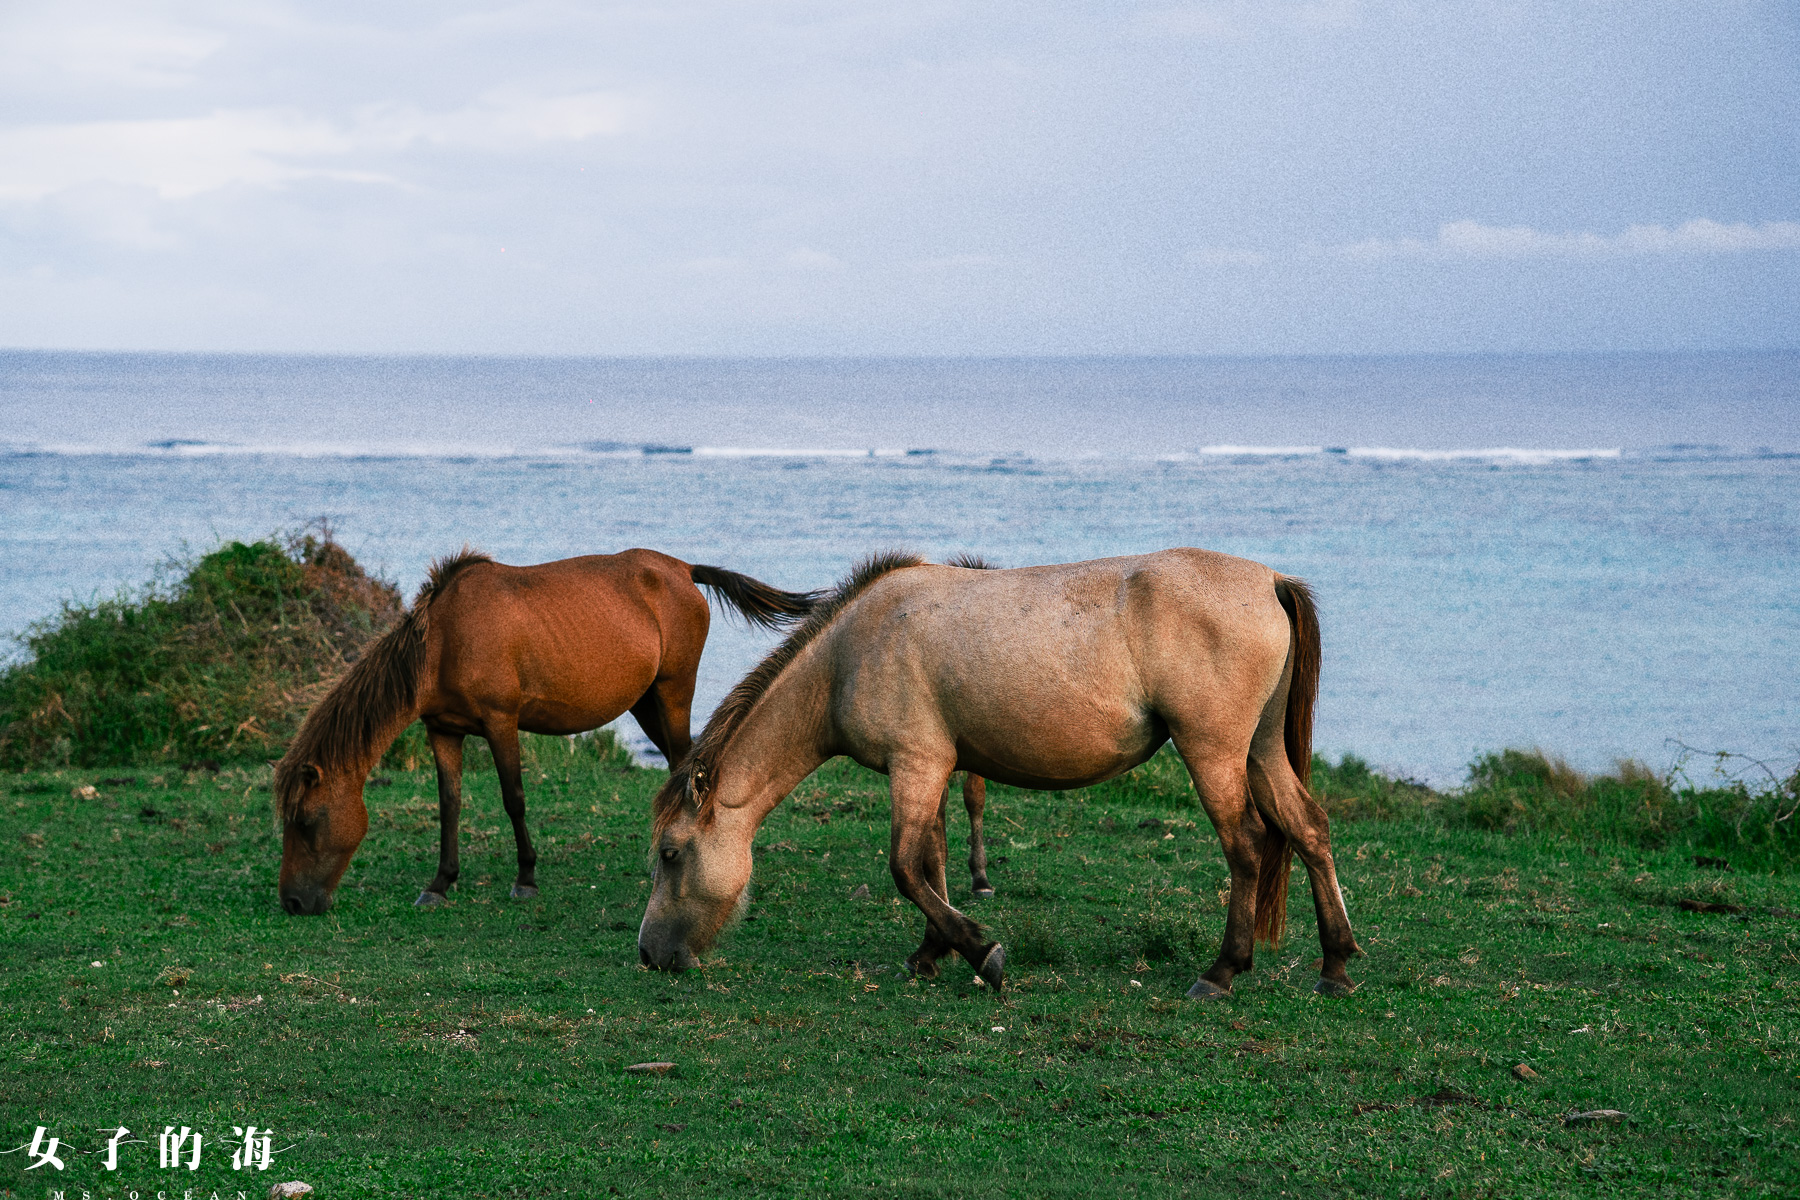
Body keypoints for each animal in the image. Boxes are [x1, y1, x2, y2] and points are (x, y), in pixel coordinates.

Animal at [274, 548, 821, 915]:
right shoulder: (442, 731)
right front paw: (440, 883)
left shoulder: (500, 722)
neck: (445, 641)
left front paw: (526, 878)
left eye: (305, 820)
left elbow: (513, 797)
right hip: (645, 702)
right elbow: (449, 804)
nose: (294, 902)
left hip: (671, 692)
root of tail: (683, 569)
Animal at [637, 549, 1360, 999]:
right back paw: (1335, 963)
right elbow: (932, 862)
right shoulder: (933, 766)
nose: (649, 956)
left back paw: (1222, 971)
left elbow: (906, 868)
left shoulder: (915, 764)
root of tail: (1271, 580)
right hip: (1261, 750)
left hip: (1213, 751)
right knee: (1309, 829)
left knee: (1247, 846)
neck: (849, 653)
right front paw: (933, 953)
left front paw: (981, 954)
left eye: (671, 853)